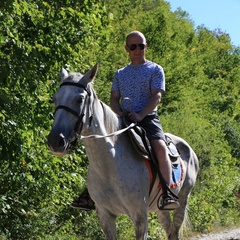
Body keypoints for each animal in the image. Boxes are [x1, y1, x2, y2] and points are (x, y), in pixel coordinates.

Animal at [47, 64, 199, 240]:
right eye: (55, 98)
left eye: (79, 99)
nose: (55, 141)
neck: (109, 164)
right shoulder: (105, 215)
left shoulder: (139, 216)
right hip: (160, 210)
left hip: (182, 201)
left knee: (174, 230)